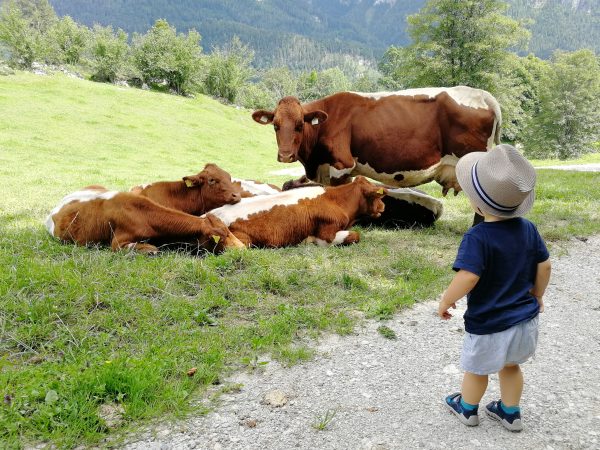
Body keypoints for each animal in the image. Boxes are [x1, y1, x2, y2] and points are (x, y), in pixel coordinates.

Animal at [45, 186, 245, 255]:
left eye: (229, 230)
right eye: (223, 236)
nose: (243, 247)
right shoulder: (118, 243)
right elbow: (150, 249)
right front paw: (151, 249)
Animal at [204, 176, 386, 248]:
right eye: (378, 196)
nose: (383, 207)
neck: (336, 200)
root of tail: (206, 216)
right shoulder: (326, 235)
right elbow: (355, 235)